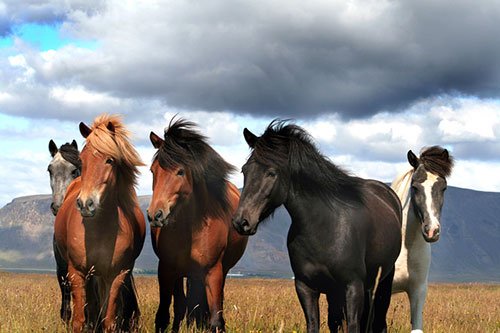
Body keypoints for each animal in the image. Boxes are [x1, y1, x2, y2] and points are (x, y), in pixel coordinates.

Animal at [54, 113, 146, 330]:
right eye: (82, 160)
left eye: (109, 160)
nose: (85, 204)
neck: (100, 231)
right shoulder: (76, 273)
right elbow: (79, 320)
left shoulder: (116, 275)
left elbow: (109, 320)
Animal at [146, 118, 248, 330]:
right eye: (153, 170)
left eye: (180, 172)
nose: (155, 215)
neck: (191, 228)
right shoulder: (166, 269)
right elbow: (164, 315)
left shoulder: (213, 272)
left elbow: (216, 319)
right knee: (180, 307)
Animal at [232, 121, 400, 332]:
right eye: (244, 170)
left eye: (271, 172)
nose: (241, 222)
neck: (324, 227)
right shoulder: (306, 287)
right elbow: (314, 324)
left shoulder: (353, 286)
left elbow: (353, 325)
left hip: (382, 281)